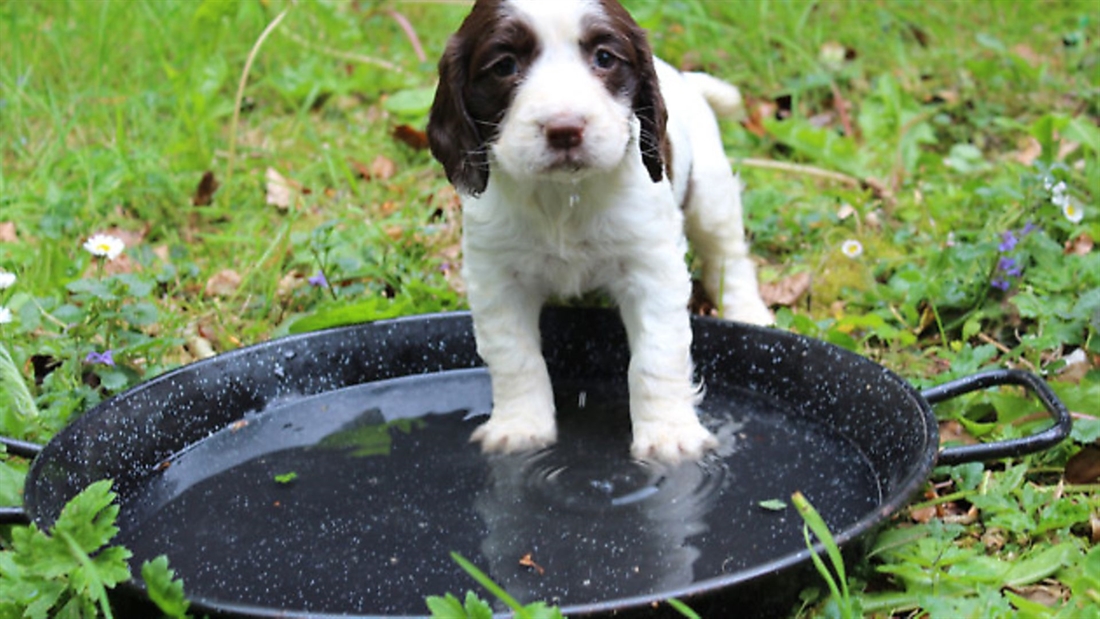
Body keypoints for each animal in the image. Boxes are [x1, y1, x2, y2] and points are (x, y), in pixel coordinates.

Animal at [424, 0, 770, 466]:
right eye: (504, 65)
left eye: (604, 58)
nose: (564, 128)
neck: (562, 196)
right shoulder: (496, 275)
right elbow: (513, 355)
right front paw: (520, 428)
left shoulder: (651, 267)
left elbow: (656, 356)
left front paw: (669, 436)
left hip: (710, 194)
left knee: (728, 254)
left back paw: (748, 310)